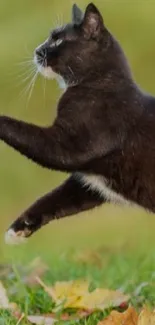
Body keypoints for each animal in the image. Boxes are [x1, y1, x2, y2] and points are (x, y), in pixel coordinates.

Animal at [2, 2, 155, 242]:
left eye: (58, 40)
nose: (37, 50)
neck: (98, 83)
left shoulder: (73, 145)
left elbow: (24, 132)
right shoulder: (92, 182)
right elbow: (57, 197)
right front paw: (19, 228)